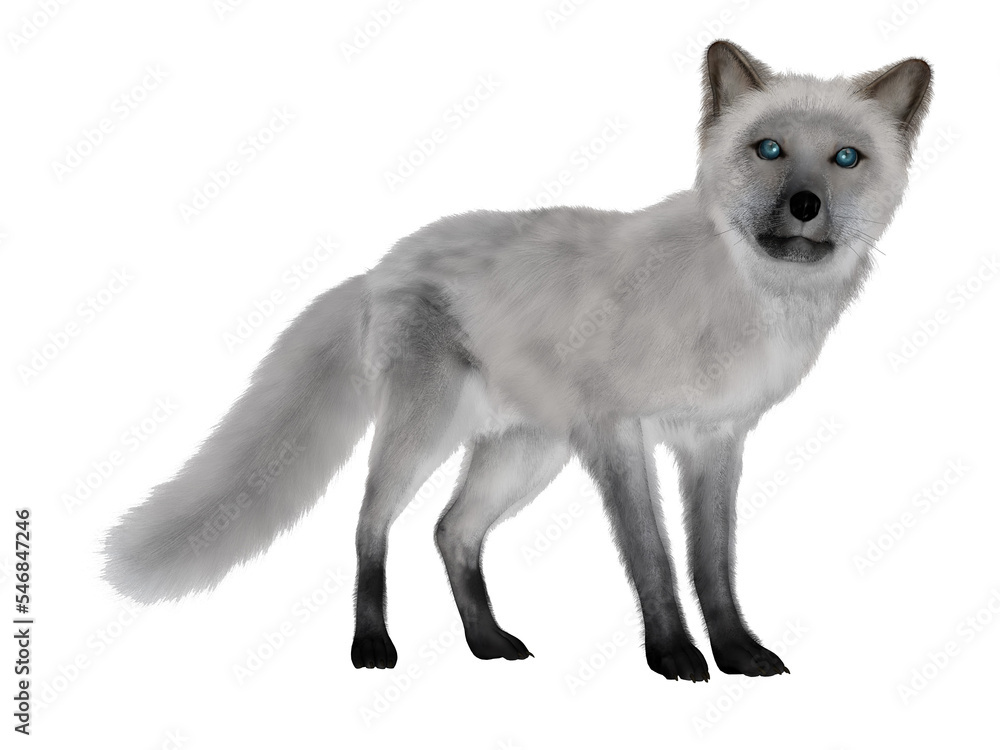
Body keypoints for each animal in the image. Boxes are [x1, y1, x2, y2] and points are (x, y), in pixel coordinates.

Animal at [103, 40, 932, 682]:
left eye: (846, 159)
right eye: (769, 150)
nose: (803, 205)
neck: (738, 300)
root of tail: (380, 266)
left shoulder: (715, 444)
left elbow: (714, 565)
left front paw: (735, 653)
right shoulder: (618, 433)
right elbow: (654, 559)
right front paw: (673, 657)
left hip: (526, 457)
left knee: (451, 532)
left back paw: (485, 643)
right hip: (428, 436)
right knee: (371, 524)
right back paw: (372, 645)